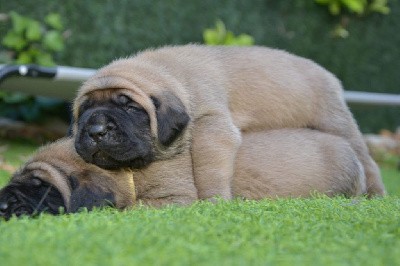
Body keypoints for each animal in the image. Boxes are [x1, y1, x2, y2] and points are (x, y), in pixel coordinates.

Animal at [72, 44, 384, 202]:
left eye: (129, 107)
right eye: (85, 110)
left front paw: (213, 201)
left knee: (367, 161)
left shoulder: (211, 125)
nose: (96, 130)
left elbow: (209, 169)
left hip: (335, 120)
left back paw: (377, 194)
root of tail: (328, 75)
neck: (165, 73)